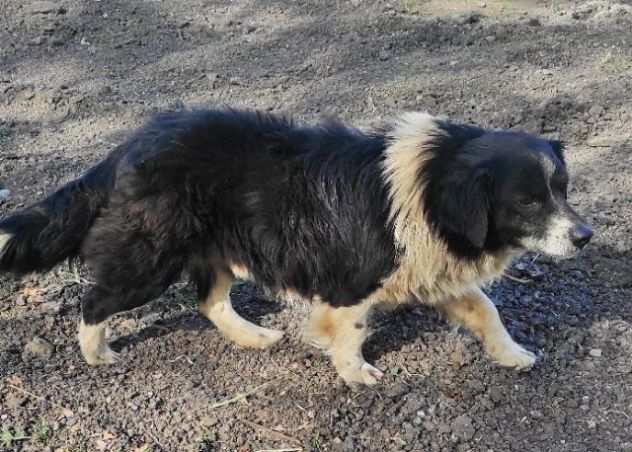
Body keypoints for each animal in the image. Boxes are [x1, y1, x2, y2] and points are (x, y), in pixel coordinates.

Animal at [0, 108, 592, 384]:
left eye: (563, 189)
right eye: (528, 201)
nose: (585, 237)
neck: (431, 182)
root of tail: (131, 143)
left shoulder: (431, 269)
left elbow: (486, 310)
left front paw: (512, 354)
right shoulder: (353, 278)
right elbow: (352, 328)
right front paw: (355, 373)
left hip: (217, 247)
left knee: (209, 300)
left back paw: (254, 336)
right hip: (150, 255)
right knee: (96, 298)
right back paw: (96, 353)